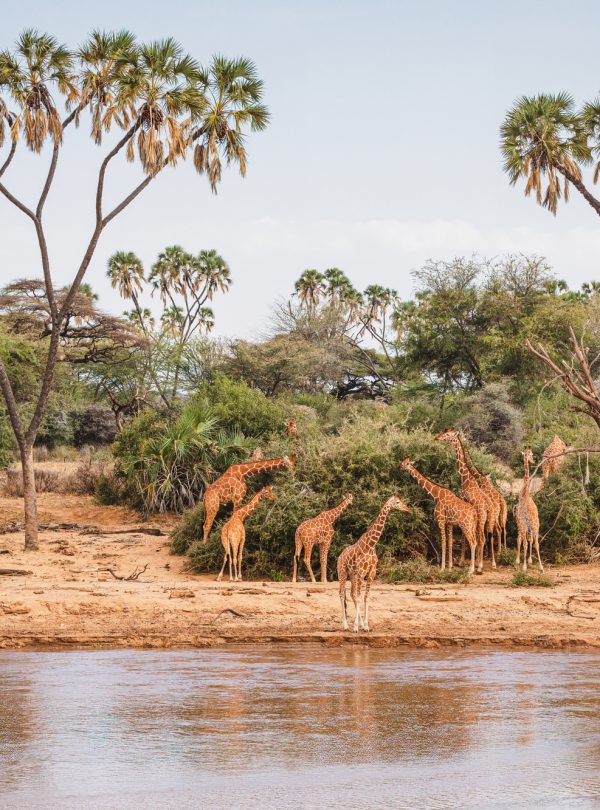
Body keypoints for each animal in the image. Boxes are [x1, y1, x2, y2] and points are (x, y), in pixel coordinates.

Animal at [337, 495, 410, 632]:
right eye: (397, 502)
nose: (407, 509)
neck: (371, 545)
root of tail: (339, 556)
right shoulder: (362, 571)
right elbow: (359, 596)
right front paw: (355, 627)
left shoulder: (372, 571)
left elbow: (366, 597)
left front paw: (365, 626)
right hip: (342, 573)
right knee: (342, 594)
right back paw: (345, 625)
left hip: (353, 575)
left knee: (351, 594)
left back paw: (358, 624)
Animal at [435, 428, 498, 570]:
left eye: (448, 434)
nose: (437, 437)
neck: (465, 478)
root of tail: (489, 508)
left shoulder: (464, 503)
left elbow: (464, 536)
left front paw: (462, 561)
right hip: (489, 519)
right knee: (489, 536)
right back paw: (492, 563)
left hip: (481, 518)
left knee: (482, 538)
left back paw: (479, 566)